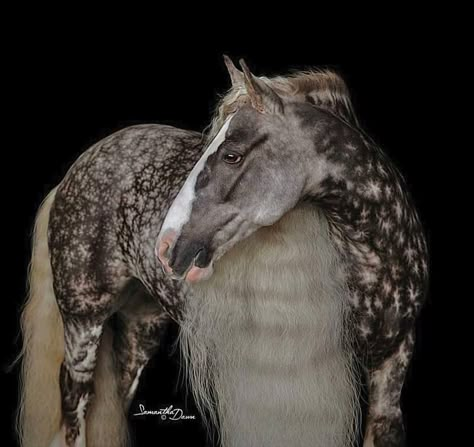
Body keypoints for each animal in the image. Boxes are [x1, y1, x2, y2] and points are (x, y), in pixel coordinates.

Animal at [16, 57, 428, 447]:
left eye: (232, 155)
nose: (165, 246)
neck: (375, 263)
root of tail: (76, 169)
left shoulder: (393, 363)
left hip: (140, 325)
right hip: (83, 317)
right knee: (74, 403)